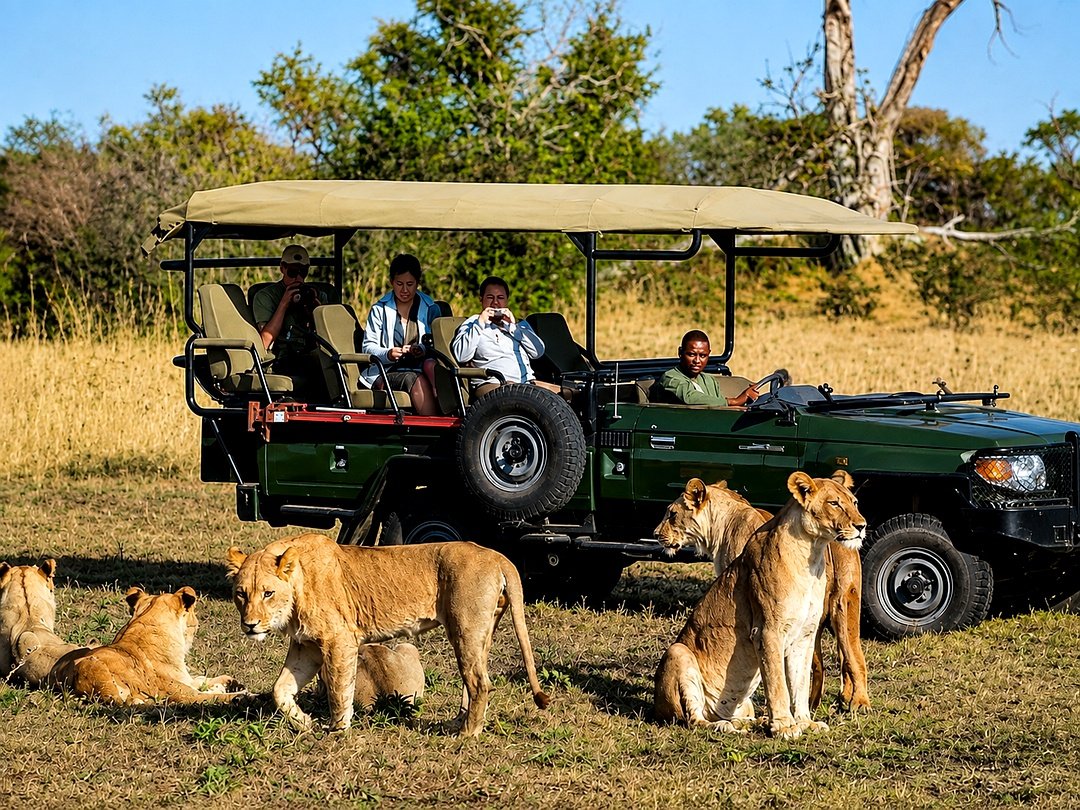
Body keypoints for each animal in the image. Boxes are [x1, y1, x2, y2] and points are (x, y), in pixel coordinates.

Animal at [49, 586, 247, 705]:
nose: (197, 625)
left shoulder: (186, 679)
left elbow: (203, 679)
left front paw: (232, 682)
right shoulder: (182, 694)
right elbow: (212, 696)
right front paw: (241, 695)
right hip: (92, 664)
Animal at [225, 534, 549, 737]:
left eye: (268, 593)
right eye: (241, 594)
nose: (251, 625)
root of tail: (496, 556)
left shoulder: (339, 640)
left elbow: (339, 689)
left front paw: (337, 730)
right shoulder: (307, 646)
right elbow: (280, 689)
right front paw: (304, 723)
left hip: (465, 627)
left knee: (480, 683)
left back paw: (467, 734)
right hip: (482, 631)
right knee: (474, 682)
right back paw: (458, 723)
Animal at [653, 470, 866, 739]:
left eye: (854, 502)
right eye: (834, 503)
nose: (862, 526)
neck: (813, 554)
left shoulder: (804, 635)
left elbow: (799, 683)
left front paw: (804, 722)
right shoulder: (767, 630)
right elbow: (777, 683)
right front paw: (785, 725)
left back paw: (751, 723)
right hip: (677, 651)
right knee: (694, 719)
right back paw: (725, 726)